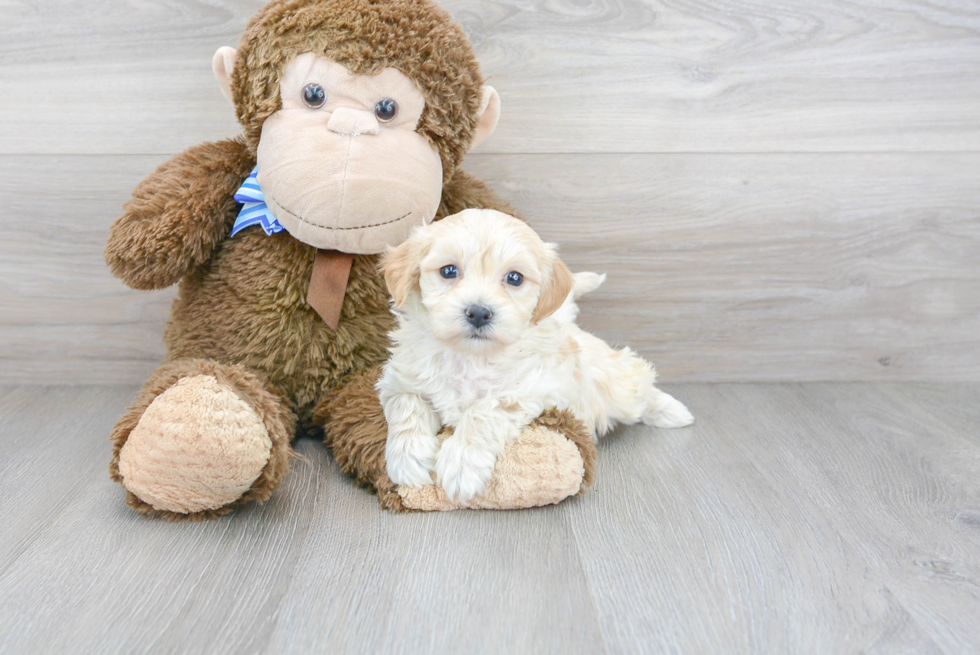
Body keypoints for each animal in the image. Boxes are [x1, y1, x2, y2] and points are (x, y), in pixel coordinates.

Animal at [378, 210, 692, 502]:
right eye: (448, 271)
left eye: (514, 278)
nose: (478, 312)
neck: (471, 357)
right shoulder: (399, 381)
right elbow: (406, 407)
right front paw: (408, 459)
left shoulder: (534, 386)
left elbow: (485, 410)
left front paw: (461, 463)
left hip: (614, 384)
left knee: (638, 384)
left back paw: (671, 410)